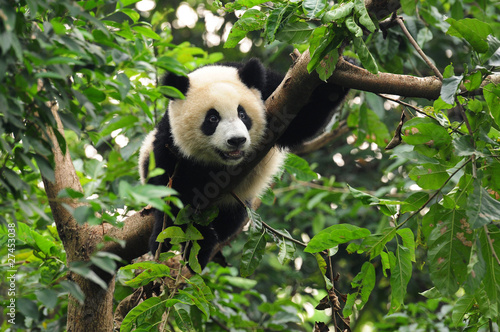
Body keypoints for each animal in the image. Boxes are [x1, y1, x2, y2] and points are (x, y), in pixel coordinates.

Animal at [137, 57, 348, 270]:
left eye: (242, 114)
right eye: (212, 118)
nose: (236, 140)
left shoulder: (274, 91)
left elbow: (301, 122)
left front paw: (338, 75)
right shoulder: (170, 142)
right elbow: (172, 191)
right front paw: (178, 242)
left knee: (230, 220)